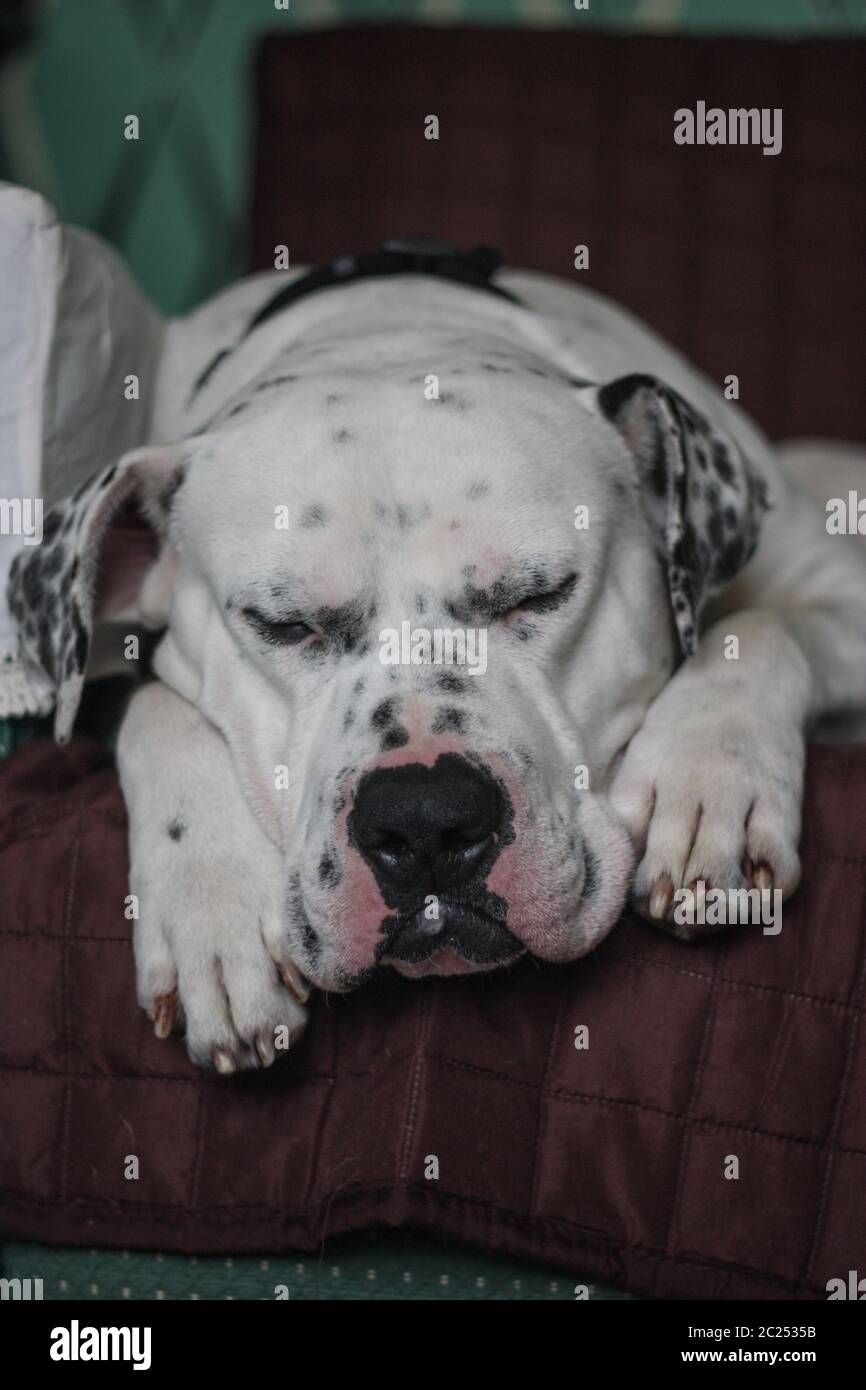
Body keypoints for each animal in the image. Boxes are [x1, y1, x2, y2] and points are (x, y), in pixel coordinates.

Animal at [8, 239, 866, 1067]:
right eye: (283, 624)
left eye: (540, 595)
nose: (424, 820)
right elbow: (154, 705)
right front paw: (212, 904)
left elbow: (761, 627)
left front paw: (709, 777)